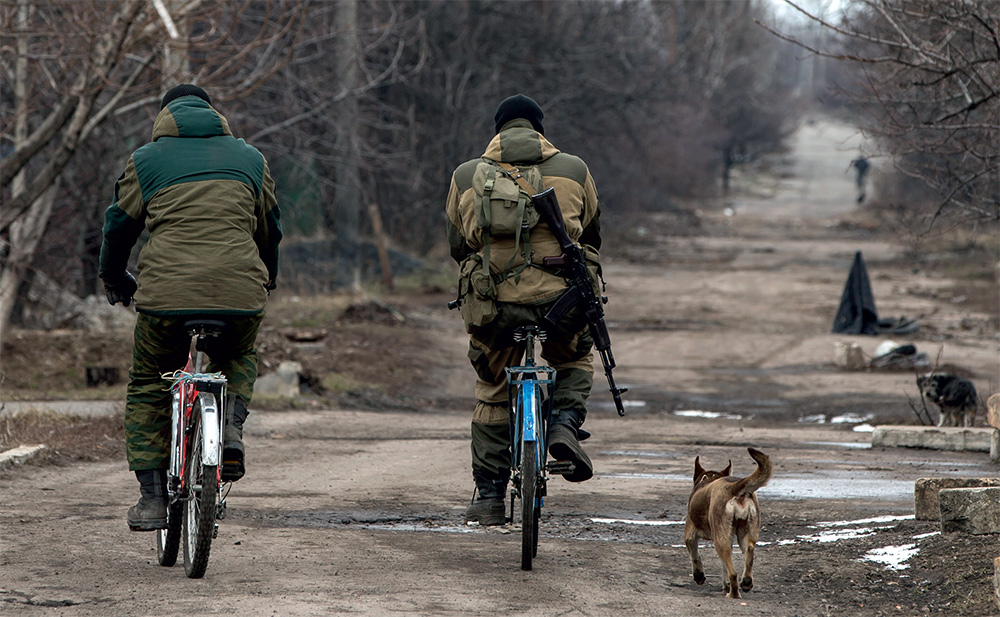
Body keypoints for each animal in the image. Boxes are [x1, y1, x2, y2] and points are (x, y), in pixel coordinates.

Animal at [688, 448, 772, 596]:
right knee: (749, 552)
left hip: (720, 541)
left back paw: (733, 594)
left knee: (733, 573)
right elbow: (724, 566)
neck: (710, 479)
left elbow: (695, 554)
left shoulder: (690, 534)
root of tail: (734, 487)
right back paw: (746, 582)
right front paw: (725, 584)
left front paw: (699, 575)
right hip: (744, 535)